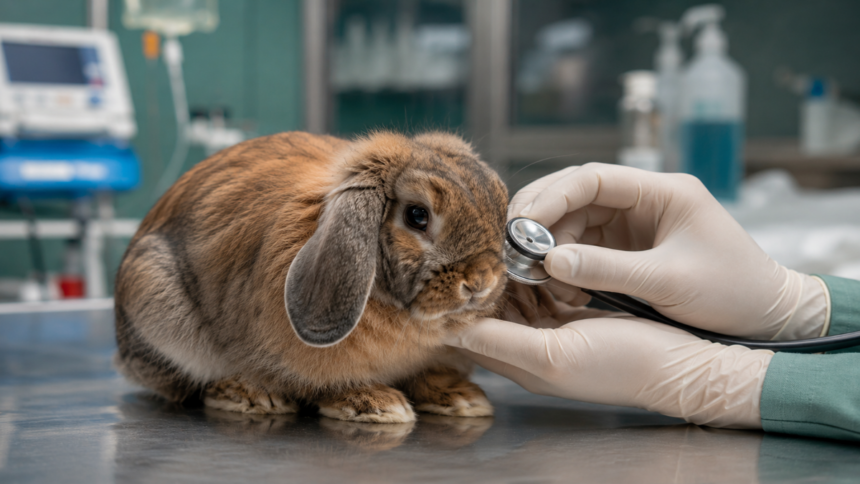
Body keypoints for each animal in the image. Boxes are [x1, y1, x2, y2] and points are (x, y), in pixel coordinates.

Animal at [114, 131, 509, 423]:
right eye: (417, 216)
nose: (480, 281)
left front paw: (461, 399)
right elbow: (327, 384)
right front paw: (374, 404)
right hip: (156, 303)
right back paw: (253, 395)